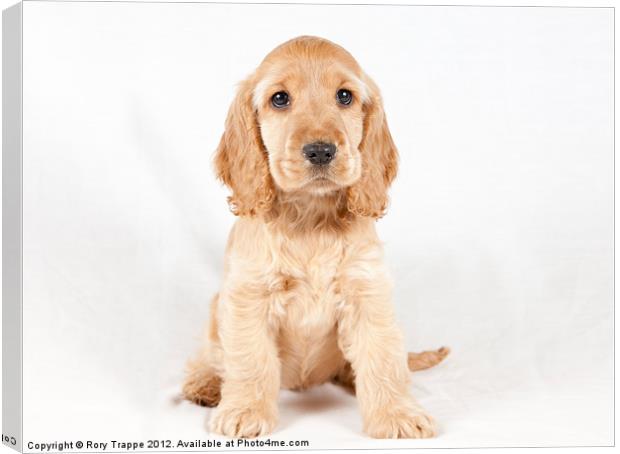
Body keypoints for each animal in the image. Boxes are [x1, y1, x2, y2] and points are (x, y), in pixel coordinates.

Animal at [182, 35, 448, 440]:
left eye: (344, 96)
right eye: (279, 98)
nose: (321, 150)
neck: (310, 217)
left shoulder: (366, 291)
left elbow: (383, 357)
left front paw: (397, 414)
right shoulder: (249, 295)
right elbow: (249, 359)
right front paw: (244, 411)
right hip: (217, 307)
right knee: (212, 356)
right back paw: (207, 384)